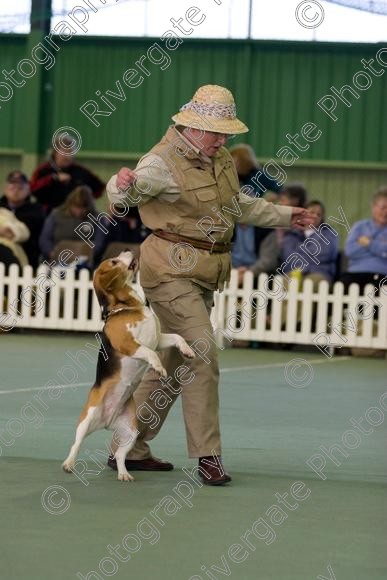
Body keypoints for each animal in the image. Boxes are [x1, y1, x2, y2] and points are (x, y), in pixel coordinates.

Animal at [64, 251, 197, 482]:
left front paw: (187, 350)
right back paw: (69, 463)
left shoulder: (158, 339)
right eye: (113, 262)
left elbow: (176, 337)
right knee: (77, 444)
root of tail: (107, 422)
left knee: (119, 455)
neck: (128, 306)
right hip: (87, 419)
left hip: (131, 432)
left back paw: (124, 473)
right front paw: (159, 367)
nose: (128, 250)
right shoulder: (130, 344)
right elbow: (150, 353)